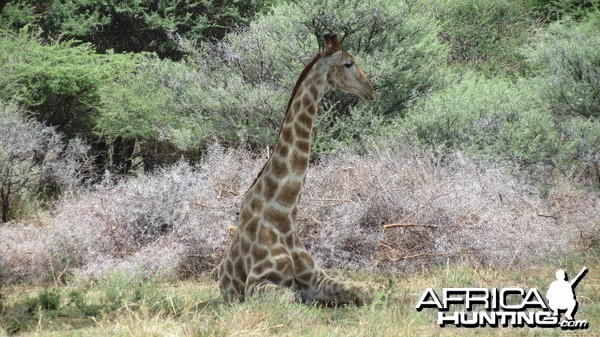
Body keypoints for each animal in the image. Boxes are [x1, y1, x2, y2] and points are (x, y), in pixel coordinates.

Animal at [216, 32, 376, 304]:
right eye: (348, 63)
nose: (371, 91)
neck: (283, 213)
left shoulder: (317, 278)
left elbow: (366, 290)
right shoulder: (256, 284)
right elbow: (291, 297)